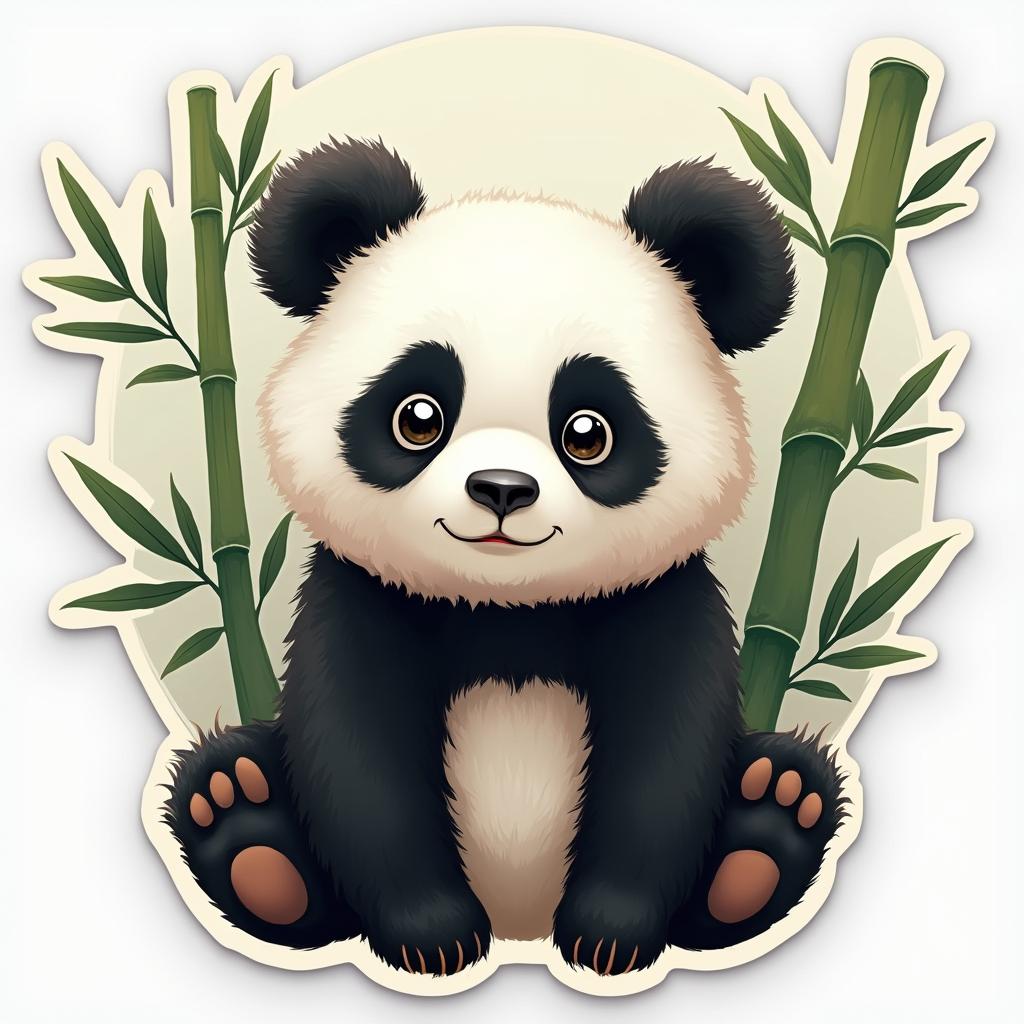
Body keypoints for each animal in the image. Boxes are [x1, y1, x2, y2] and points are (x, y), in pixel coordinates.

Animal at [166, 138, 844, 977]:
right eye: (418, 416)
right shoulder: (363, 593)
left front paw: (610, 933)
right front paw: (432, 935)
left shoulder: (658, 594)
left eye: (588, 432)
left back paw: (769, 825)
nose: (501, 490)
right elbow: (359, 751)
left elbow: (665, 754)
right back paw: (244, 824)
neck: (508, 605)